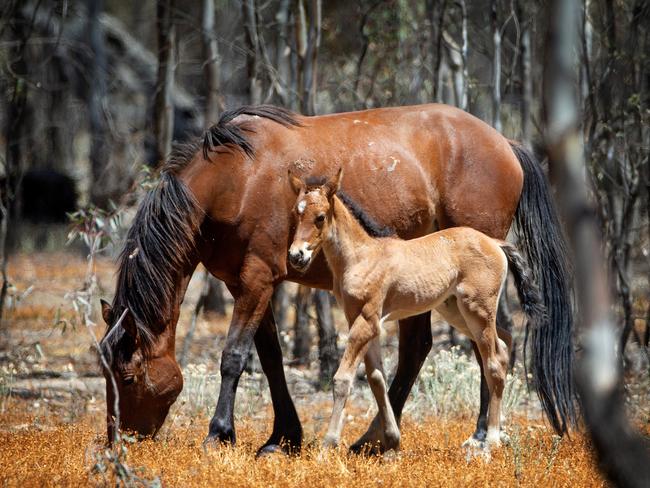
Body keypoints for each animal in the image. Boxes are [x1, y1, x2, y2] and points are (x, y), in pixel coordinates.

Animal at [286, 168, 544, 454]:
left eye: (320, 217)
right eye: (296, 213)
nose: (296, 256)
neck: (362, 255)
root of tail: (495, 243)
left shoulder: (366, 322)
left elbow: (343, 379)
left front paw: (327, 445)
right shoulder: (364, 322)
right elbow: (377, 379)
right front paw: (391, 439)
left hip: (477, 310)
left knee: (494, 361)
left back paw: (492, 439)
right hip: (457, 312)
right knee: (504, 342)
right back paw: (498, 431)